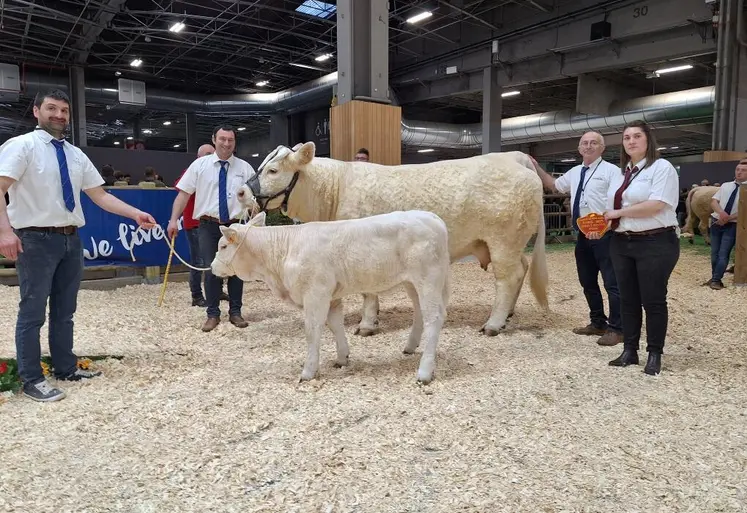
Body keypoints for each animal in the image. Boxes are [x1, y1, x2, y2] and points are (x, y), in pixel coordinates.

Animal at [213, 210, 452, 382]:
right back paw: (410, 347)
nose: (212, 266)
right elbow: (335, 325)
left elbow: (312, 330)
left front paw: (308, 372)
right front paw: (342, 358)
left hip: (428, 279)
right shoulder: (331, 296)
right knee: (420, 312)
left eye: (223, 245)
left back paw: (424, 372)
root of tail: (434, 218)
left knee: (434, 318)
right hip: (412, 282)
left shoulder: (315, 293)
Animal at [238, 142, 548, 338]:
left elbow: (367, 292)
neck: (336, 189)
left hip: (503, 239)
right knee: (521, 269)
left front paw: (367, 325)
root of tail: (515, 157)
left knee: (508, 277)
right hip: (511, 242)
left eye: (273, 170)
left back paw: (493, 324)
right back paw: (508, 316)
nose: (241, 192)